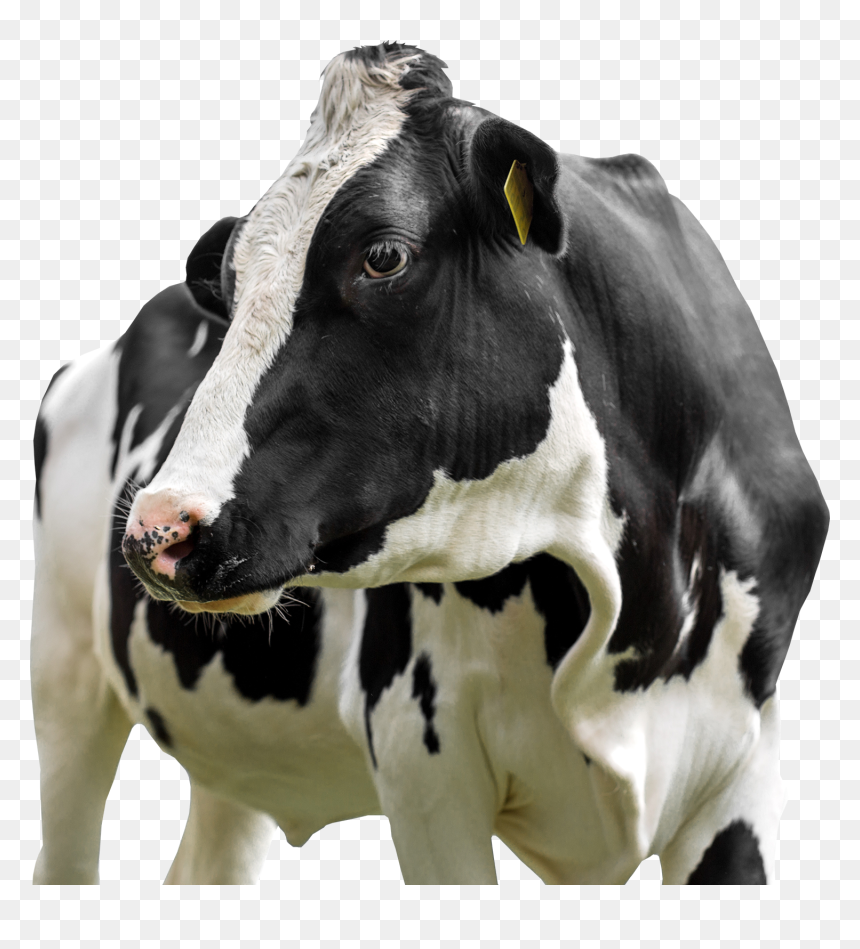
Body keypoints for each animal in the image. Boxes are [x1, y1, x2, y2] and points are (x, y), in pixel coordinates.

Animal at [34, 42, 828, 884]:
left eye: (384, 254)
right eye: (231, 279)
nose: (160, 528)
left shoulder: (743, 770)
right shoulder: (423, 758)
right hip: (64, 674)